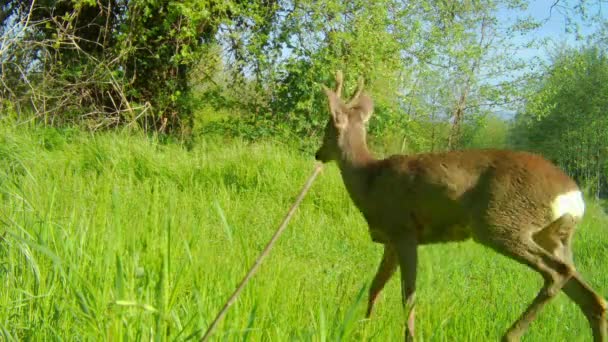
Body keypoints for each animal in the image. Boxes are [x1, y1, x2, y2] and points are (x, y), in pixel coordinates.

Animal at [316, 71, 604, 340]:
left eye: (327, 129)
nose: (318, 154)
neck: (369, 179)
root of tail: (573, 196)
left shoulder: (404, 230)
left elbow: (408, 296)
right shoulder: (390, 240)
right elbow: (375, 286)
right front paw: (362, 329)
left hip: (501, 223)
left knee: (558, 273)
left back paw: (509, 335)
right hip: (554, 237)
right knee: (594, 299)